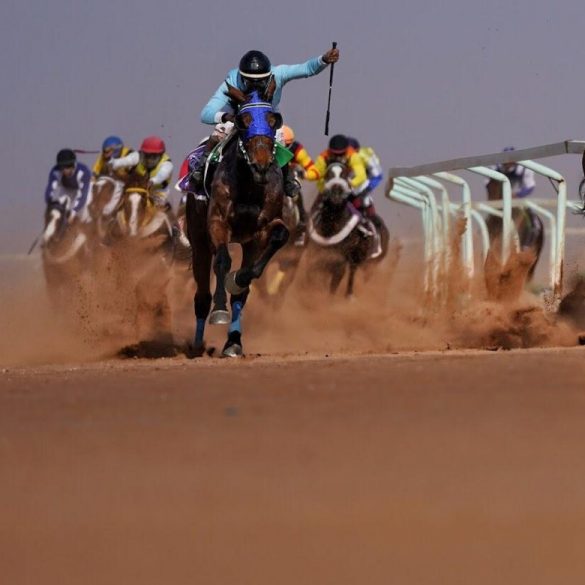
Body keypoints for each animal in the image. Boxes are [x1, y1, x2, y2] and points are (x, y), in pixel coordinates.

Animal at [185, 83, 289, 357]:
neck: (250, 187)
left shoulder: (260, 230)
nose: (261, 165)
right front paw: (220, 311)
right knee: (201, 295)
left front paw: (238, 279)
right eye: (244, 121)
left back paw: (232, 341)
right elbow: (222, 260)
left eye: (273, 119)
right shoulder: (217, 223)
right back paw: (197, 344)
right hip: (198, 239)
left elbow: (278, 237)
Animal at [306, 162, 389, 297]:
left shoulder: (339, 262)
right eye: (328, 175)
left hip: (370, 264)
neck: (331, 227)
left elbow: (333, 285)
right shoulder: (317, 255)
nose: (336, 193)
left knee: (354, 274)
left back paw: (349, 295)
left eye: (345, 175)